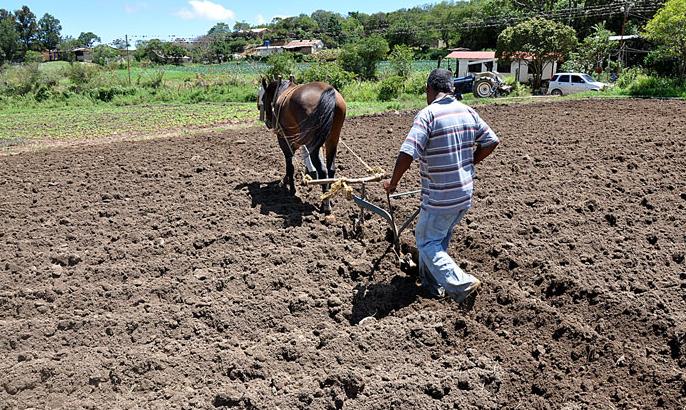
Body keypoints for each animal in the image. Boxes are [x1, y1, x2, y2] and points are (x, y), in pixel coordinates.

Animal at [260, 79, 350, 215]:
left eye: (264, 98)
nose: (268, 123)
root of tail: (328, 90)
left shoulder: (284, 140)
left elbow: (290, 165)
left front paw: (291, 189)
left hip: (312, 143)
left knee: (323, 170)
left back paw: (325, 205)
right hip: (332, 140)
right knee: (330, 169)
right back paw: (328, 196)